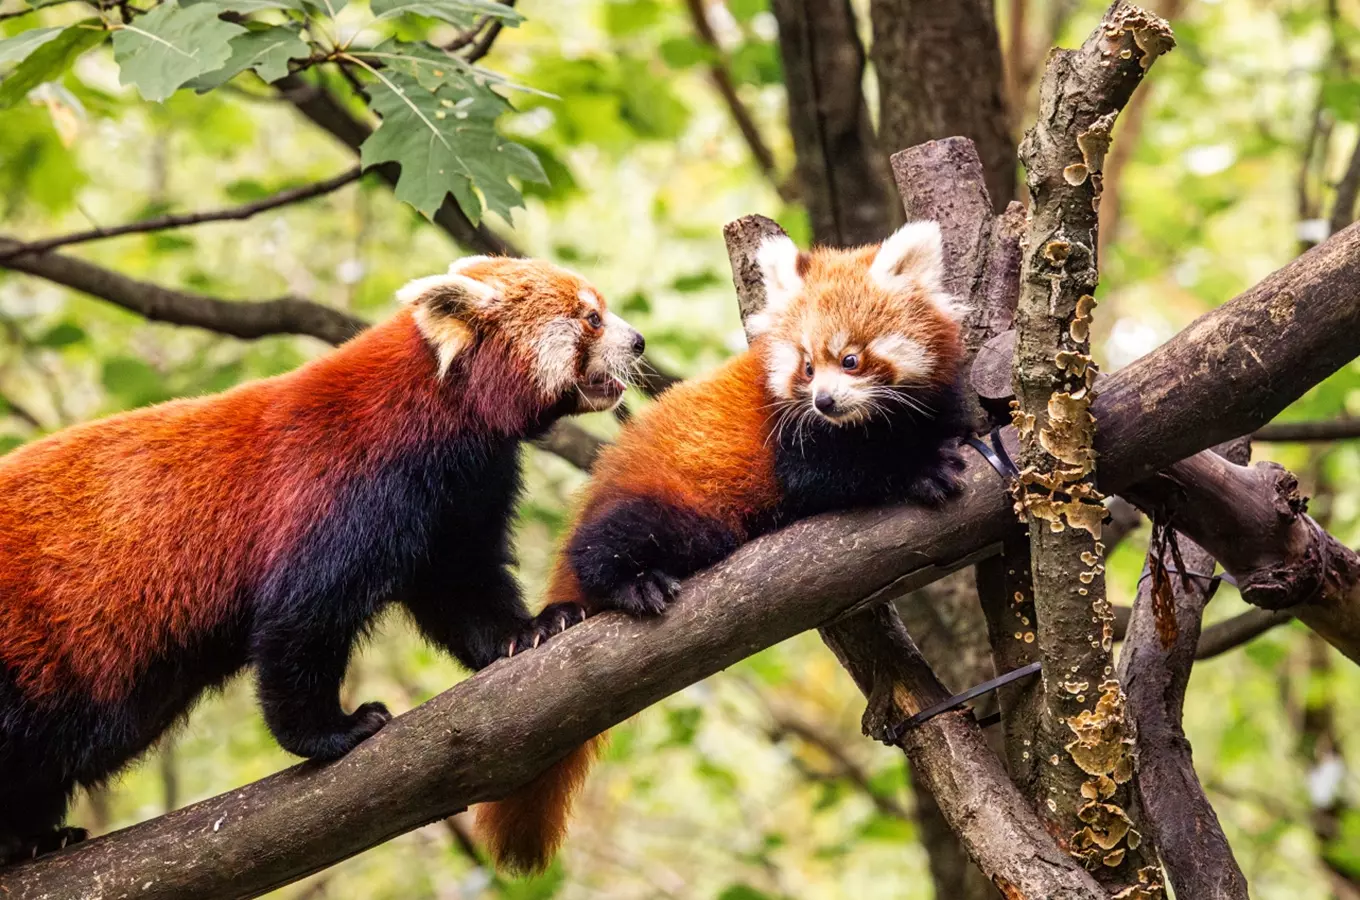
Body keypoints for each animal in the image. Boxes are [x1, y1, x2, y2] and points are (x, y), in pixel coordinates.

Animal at [0, 256, 644, 864]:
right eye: (592, 318)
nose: (638, 342)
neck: (440, 413)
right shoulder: (343, 486)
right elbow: (302, 619)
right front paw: (333, 731)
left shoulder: (459, 494)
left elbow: (463, 586)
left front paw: (530, 629)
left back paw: (33, 837)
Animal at [476, 218, 968, 875]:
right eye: (805, 367)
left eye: (851, 359)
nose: (825, 402)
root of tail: (601, 483)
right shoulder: (790, 441)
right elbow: (839, 473)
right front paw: (922, 470)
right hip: (670, 505)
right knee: (610, 544)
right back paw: (633, 581)